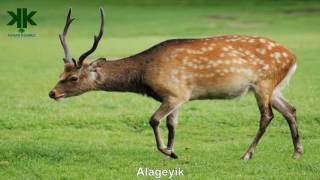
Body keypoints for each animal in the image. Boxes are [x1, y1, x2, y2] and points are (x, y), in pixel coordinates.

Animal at [49, 7, 302, 160]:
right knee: (290, 109)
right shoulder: (177, 97)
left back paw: (246, 154)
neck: (145, 75)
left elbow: (153, 120)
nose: (52, 93)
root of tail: (292, 57)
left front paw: (167, 151)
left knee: (267, 116)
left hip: (264, 82)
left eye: (73, 78)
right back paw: (297, 152)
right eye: (61, 72)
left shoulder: (175, 92)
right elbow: (172, 125)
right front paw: (171, 151)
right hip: (274, 87)